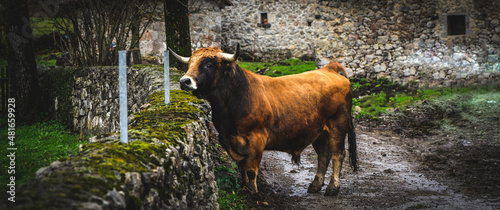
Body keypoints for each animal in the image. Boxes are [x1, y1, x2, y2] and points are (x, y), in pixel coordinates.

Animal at [170, 44, 358, 195]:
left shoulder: (256, 140)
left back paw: (332, 187)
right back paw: (315, 185)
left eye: (208, 64)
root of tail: (329, 69)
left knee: (337, 155)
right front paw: (244, 188)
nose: (184, 81)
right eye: (189, 64)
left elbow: (251, 169)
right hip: (318, 132)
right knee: (323, 156)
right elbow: (241, 167)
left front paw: (253, 191)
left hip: (337, 127)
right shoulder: (228, 140)